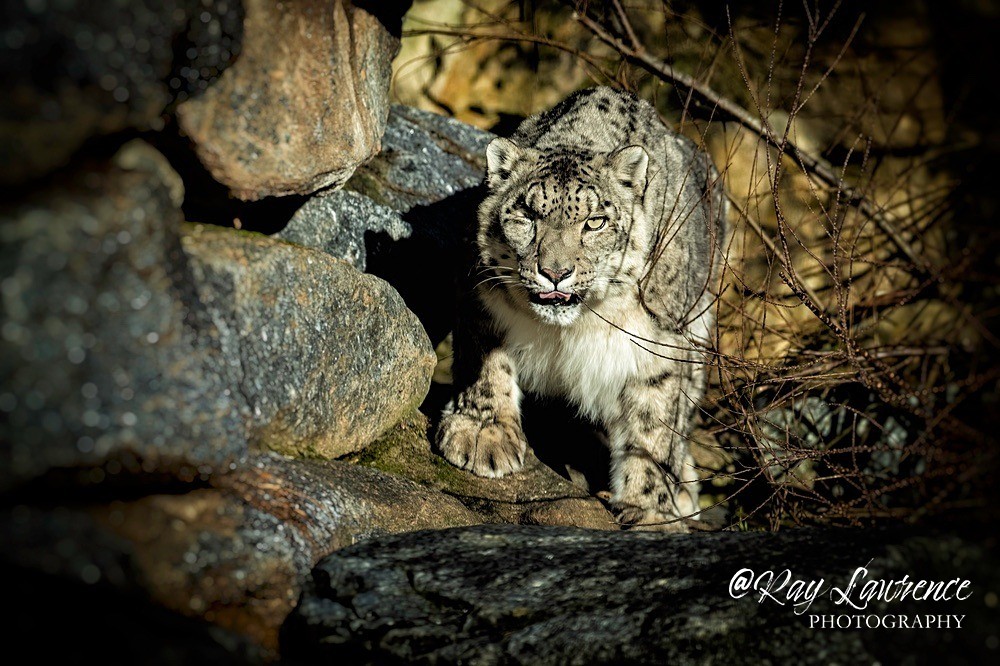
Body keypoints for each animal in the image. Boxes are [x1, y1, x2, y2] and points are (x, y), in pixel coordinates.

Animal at [436, 86, 727, 531]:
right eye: (527, 214)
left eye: (595, 221)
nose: (555, 272)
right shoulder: (479, 294)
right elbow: (485, 363)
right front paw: (483, 432)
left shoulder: (659, 344)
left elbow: (653, 423)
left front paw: (652, 511)